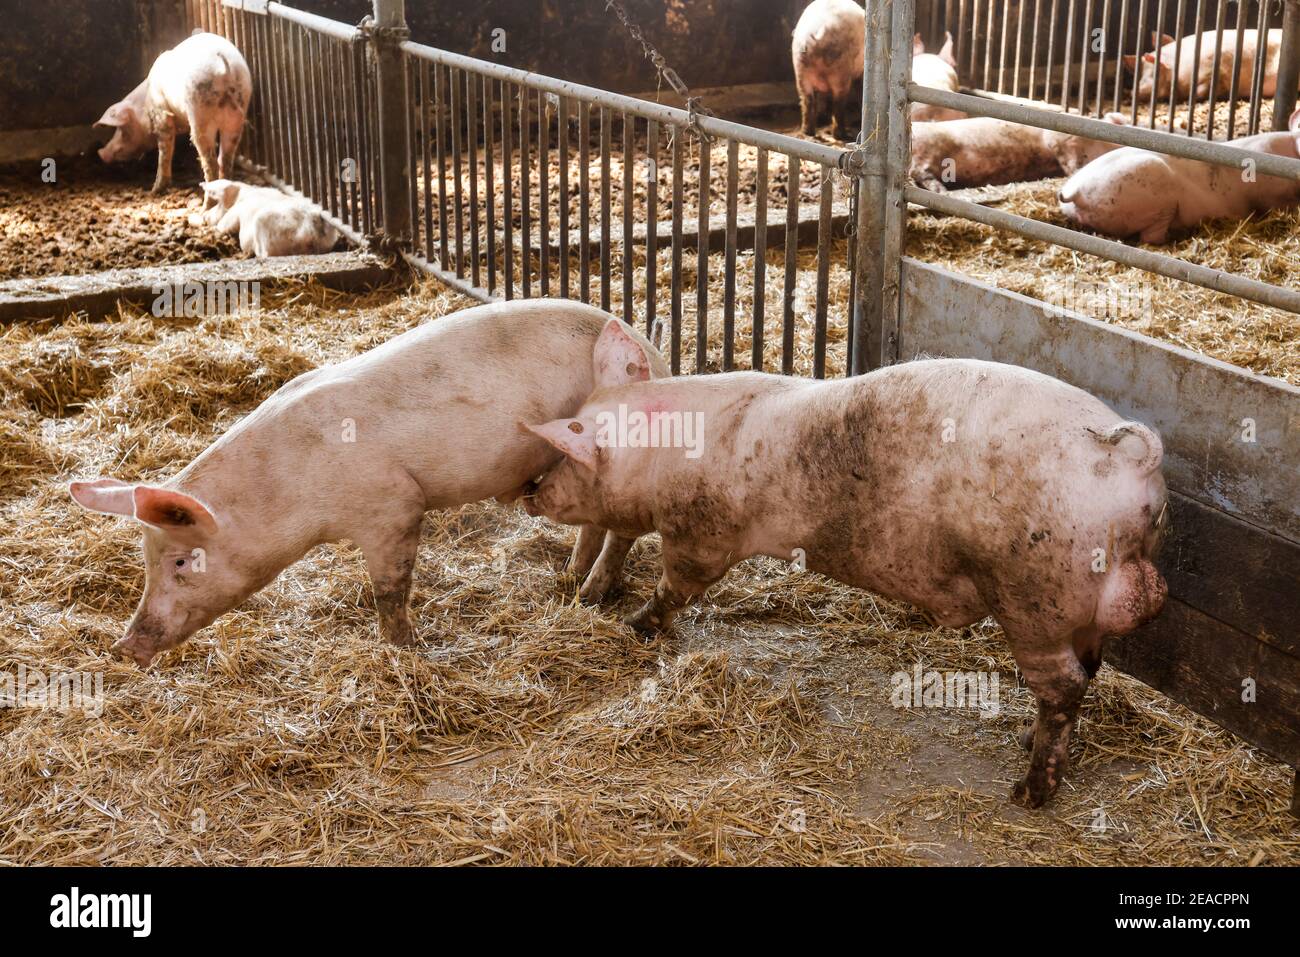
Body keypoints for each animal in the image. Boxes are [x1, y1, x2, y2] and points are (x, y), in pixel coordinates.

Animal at [68, 302, 669, 667]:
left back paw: (590, 596)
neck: (288, 489)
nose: (125, 646)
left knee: (623, 529)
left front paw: (404, 651)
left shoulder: (394, 506)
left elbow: (390, 589)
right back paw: (568, 579)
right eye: (145, 563)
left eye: (180, 561)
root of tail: (652, 352)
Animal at [96, 32, 252, 193]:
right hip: (238, 110)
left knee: (209, 159)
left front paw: (155, 190)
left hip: (200, 111)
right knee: (225, 158)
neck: (146, 100)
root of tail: (222, 64)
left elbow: (165, 147)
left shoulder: (161, 112)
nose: (101, 153)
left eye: (123, 129)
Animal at [520, 357, 1169, 808]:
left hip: (1033, 597)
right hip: (1081, 611)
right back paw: (1026, 745)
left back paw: (1028, 792)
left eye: (569, 451)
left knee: (1063, 685)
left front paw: (636, 626)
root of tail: (1131, 459)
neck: (666, 456)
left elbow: (677, 586)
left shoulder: (702, 534)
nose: (531, 489)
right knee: (1087, 671)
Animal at [792, 0, 865, 139]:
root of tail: (819, 30)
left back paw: (807, 132)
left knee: (807, 100)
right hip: (840, 70)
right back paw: (842, 135)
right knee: (838, 103)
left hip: (800, 68)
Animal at [911, 112, 1130, 192]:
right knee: (919, 172)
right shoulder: (1062, 138)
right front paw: (1075, 176)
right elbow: (1071, 163)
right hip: (929, 147)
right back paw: (941, 190)